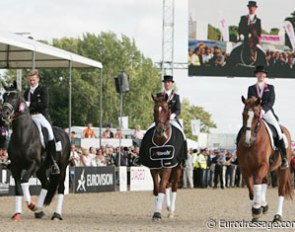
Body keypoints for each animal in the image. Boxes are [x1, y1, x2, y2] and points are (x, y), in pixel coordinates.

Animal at [1, 81, 71, 221]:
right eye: (4, 97)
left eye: (14, 97)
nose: (4, 114)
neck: (22, 135)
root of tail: (65, 134)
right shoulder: (15, 167)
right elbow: (18, 189)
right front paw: (17, 214)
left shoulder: (33, 164)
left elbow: (24, 181)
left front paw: (31, 204)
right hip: (41, 170)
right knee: (46, 184)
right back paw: (39, 210)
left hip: (62, 167)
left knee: (61, 188)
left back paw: (56, 215)